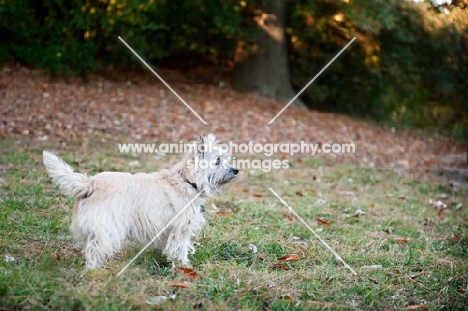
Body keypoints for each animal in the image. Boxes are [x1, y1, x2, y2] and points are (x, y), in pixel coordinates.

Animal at [43, 135, 238, 270]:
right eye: (217, 161)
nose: (236, 170)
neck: (187, 181)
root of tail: (90, 183)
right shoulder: (181, 227)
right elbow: (180, 246)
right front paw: (184, 265)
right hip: (108, 226)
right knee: (95, 248)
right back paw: (94, 270)